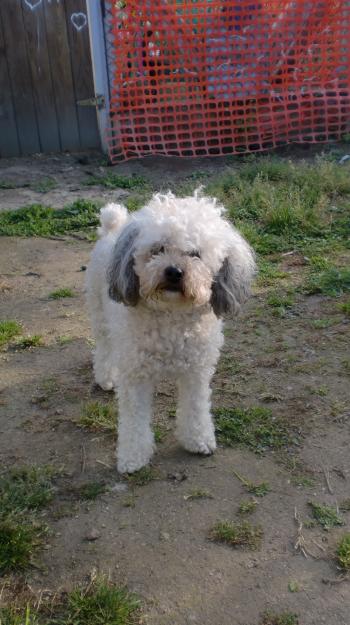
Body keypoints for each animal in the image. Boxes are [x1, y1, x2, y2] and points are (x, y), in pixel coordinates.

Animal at [85, 191, 254, 472]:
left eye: (195, 254)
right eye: (158, 249)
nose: (174, 271)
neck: (171, 314)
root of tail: (113, 226)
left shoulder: (196, 373)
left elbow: (195, 409)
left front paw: (198, 440)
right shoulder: (135, 377)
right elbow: (134, 422)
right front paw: (133, 457)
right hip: (100, 316)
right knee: (104, 348)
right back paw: (106, 377)